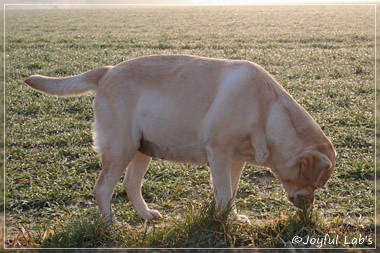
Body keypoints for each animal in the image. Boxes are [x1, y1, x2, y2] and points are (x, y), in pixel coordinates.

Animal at [23, 54, 336, 221]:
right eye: (313, 183)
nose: (310, 208)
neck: (267, 112)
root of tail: (108, 71)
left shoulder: (236, 161)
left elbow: (232, 191)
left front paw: (233, 218)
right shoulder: (219, 155)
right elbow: (225, 192)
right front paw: (224, 222)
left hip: (142, 149)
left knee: (130, 184)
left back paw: (145, 215)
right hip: (121, 148)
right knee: (102, 188)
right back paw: (111, 224)